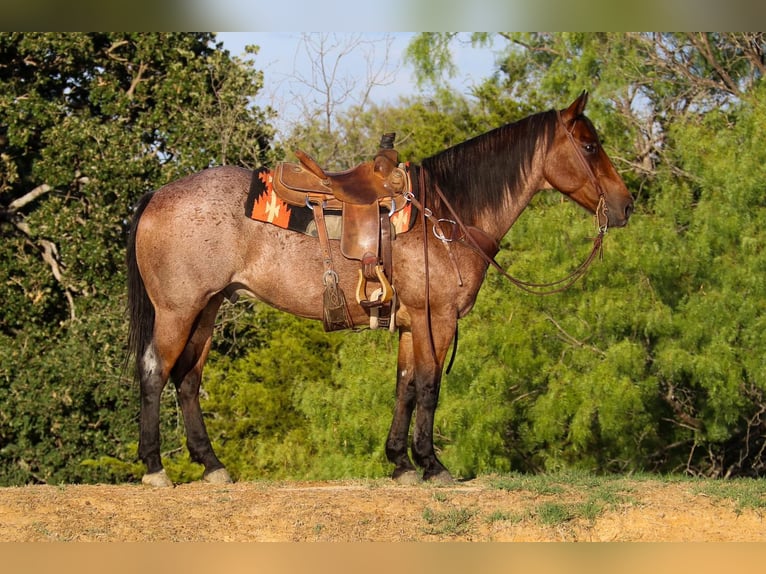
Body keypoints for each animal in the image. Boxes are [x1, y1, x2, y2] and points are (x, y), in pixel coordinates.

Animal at [127, 92, 636, 488]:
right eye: (590, 145)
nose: (626, 205)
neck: (444, 217)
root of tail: (158, 194)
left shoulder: (410, 325)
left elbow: (404, 387)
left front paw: (400, 463)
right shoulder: (437, 318)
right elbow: (429, 386)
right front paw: (432, 465)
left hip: (208, 309)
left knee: (188, 379)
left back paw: (212, 466)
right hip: (178, 310)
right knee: (156, 372)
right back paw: (155, 469)